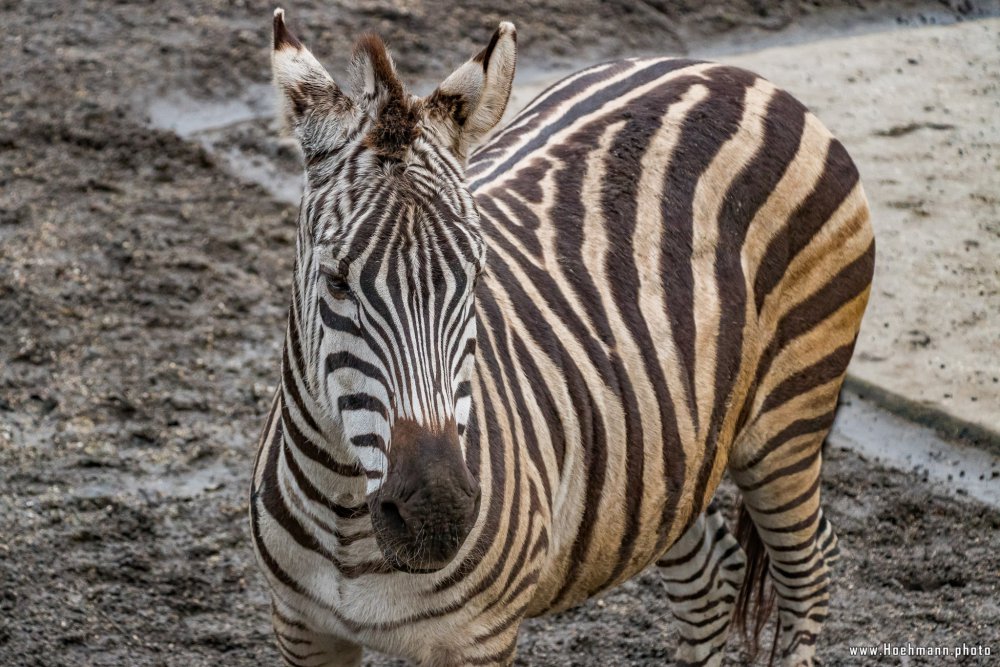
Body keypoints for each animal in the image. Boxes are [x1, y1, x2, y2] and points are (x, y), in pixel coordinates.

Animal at [250, 9, 876, 667]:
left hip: (789, 417)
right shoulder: (301, 627)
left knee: (809, 567)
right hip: (666, 462)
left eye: (476, 275)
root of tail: (731, 72)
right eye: (336, 281)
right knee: (712, 577)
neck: (346, 515)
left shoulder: (479, 638)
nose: (436, 513)